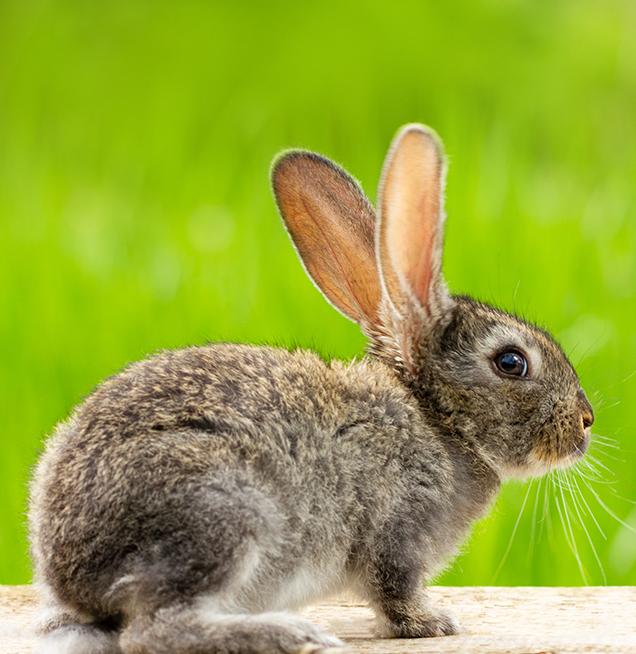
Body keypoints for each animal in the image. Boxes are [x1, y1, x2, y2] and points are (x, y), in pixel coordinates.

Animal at [29, 124, 595, 654]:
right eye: (512, 362)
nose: (586, 422)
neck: (436, 418)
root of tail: (70, 569)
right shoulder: (397, 532)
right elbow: (394, 591)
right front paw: (430, 623)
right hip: (223, 515)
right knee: (155, 629)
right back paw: (289, 633)